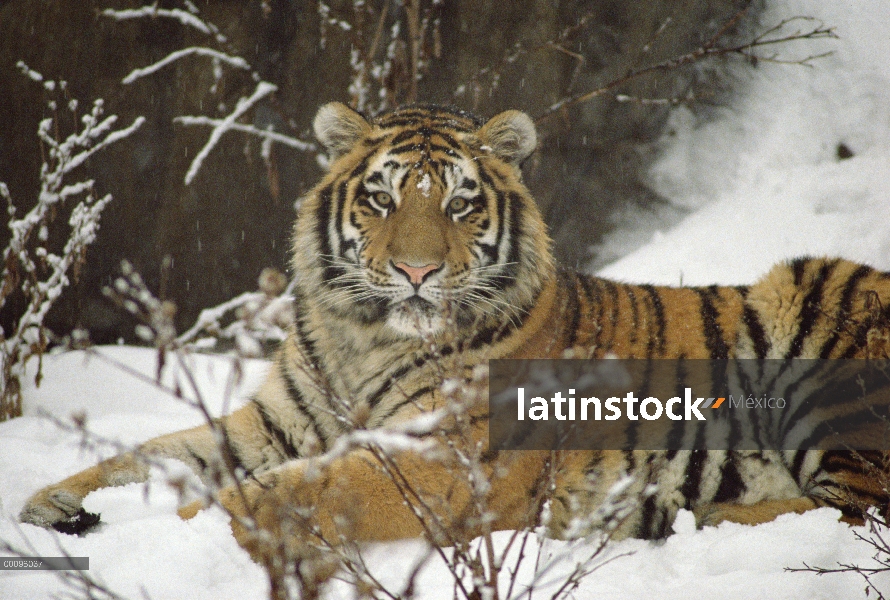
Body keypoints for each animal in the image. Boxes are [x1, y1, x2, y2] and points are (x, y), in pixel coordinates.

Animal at [17, 104, 888, 564]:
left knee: (855, 513)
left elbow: (288, 491)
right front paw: (52, 505)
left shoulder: (442, 458)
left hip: (819, 314)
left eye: (461, 203)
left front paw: (174, 535)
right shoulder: (277, 424)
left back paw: (667, 520)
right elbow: (152, 453)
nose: (416, 271)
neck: (362, 338)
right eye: (380, 198)